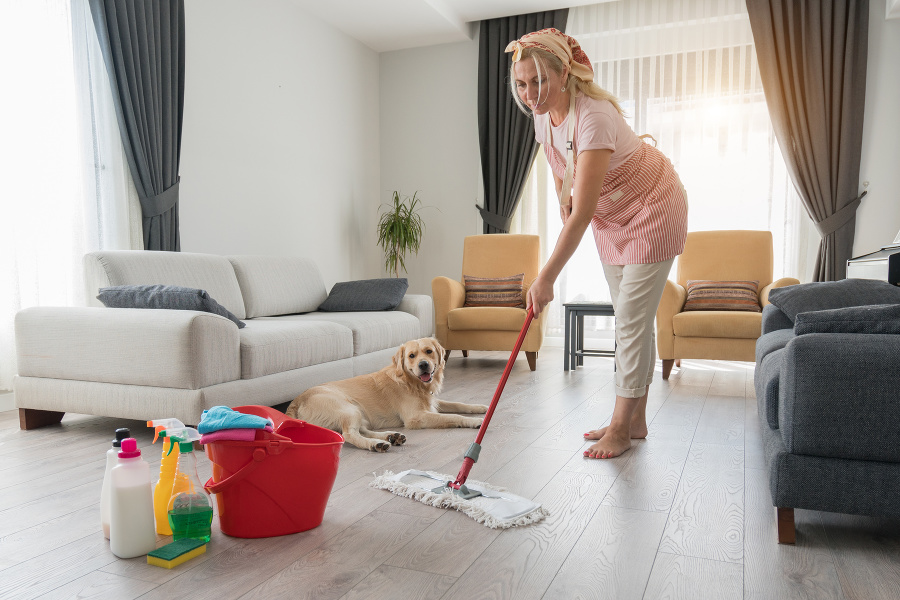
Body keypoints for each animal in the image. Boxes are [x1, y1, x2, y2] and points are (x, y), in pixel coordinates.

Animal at [286, 338, 486, 450]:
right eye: (412, 356)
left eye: (429, 351)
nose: (423, 365)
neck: (410, 381)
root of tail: (296, 400)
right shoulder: (416, 417)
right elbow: (453, 416)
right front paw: (475, 421)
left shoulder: (432, 402)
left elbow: (458, 405)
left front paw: (481, 407)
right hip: (348, 408)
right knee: (349, 435)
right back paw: (376, 445)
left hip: (358, 412)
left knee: (361, 430)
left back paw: (391, 437)